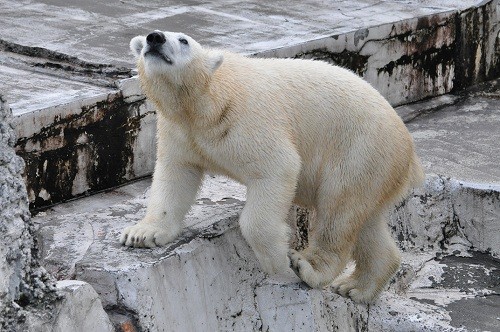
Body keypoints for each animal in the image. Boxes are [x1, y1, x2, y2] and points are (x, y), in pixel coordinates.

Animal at [121, 31, 422, 304]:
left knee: (338, 210)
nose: (155, 38)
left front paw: (278, 261)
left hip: (360, 149)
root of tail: (408, 149)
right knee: (365, 221)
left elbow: (277, 168)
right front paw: (142, 233)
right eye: (146, 38)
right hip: (376, 169)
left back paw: (310, 269)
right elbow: (175, 174)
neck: (207, 99)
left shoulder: (246, 118)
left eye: (183, 40)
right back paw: (356, 287)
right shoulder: (181, 131)